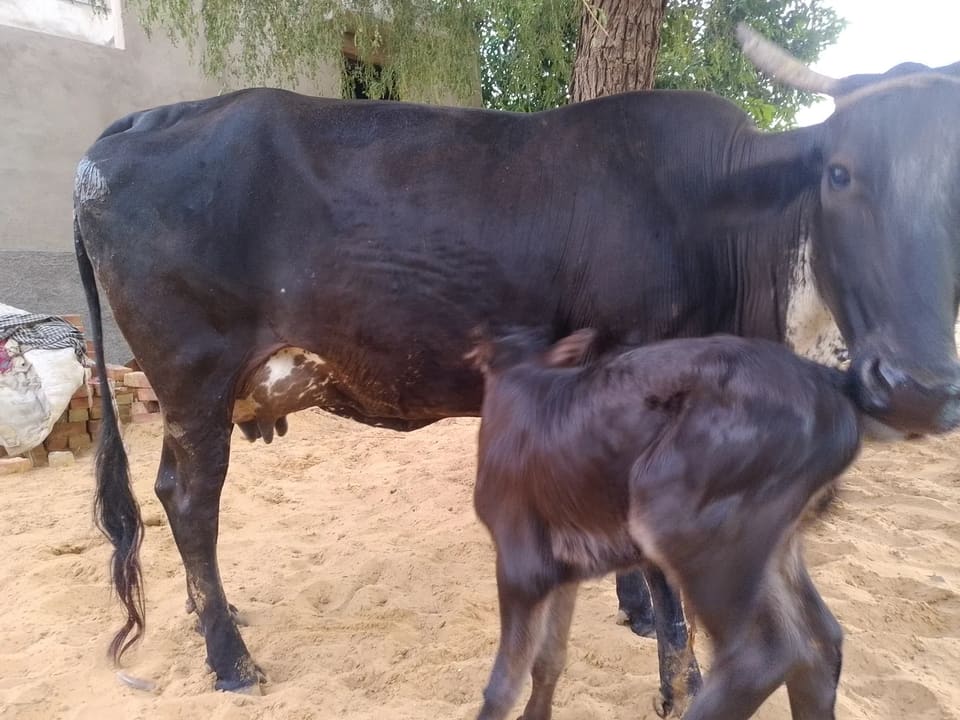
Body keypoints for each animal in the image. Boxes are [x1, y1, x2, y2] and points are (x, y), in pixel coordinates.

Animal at [469, 327, 861, 720]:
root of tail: (829, 388)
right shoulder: (565, 568)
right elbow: (549, 657)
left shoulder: (523, 566)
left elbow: (502, 685)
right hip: (768, 548)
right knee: (821, 639)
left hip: (683, 524)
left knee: (761, 657)